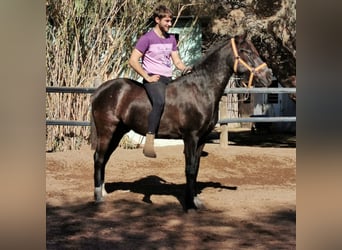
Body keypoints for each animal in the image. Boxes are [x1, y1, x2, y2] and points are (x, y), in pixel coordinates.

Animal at [91, 33, 272, 209]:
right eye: (245, 51)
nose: (269, 76)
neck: (201, 89)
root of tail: (101, 90)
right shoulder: (190, 137)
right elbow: (190, 169)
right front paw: (189, 204)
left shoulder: (202, 139)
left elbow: (196, 168)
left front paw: (194, 200)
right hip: (107, 131)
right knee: (99, 158)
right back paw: (98, 196)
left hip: (118, 132)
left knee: (104, 158)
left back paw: (104, 191)